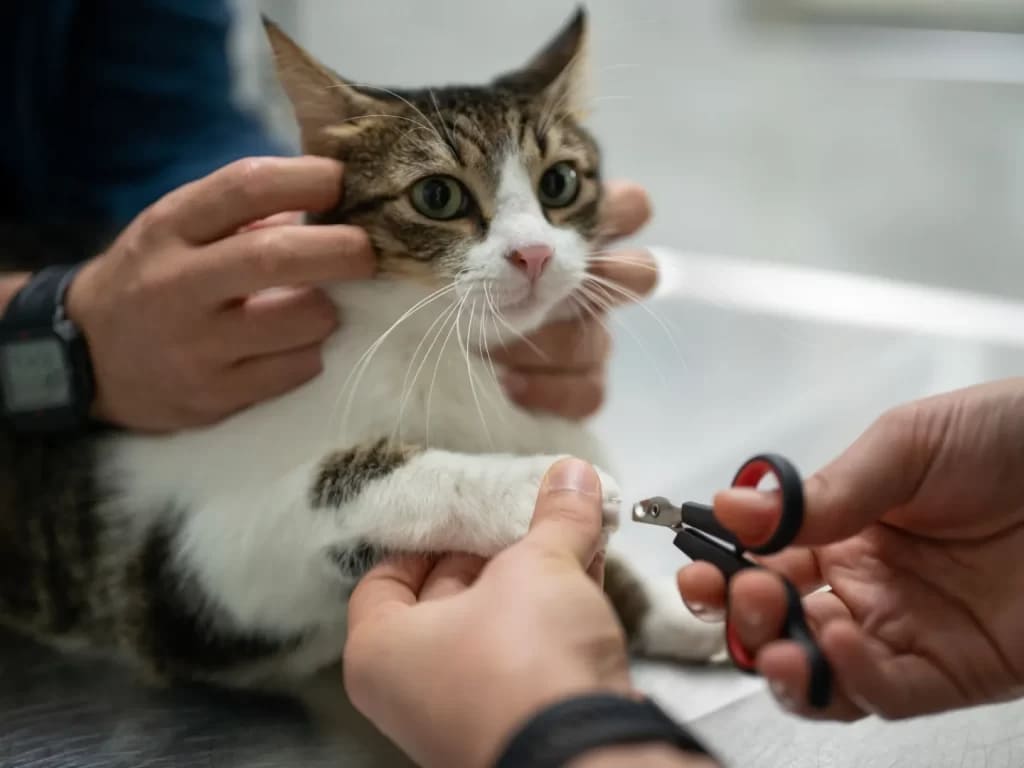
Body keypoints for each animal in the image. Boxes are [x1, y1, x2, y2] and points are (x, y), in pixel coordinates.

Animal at [0, 6, 724, 692]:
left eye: (560, 184)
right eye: (438, 195)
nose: (534, 254)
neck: (438, 351)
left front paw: (665, 602)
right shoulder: (179, 574)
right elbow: (336, 483)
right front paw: (531, 482)